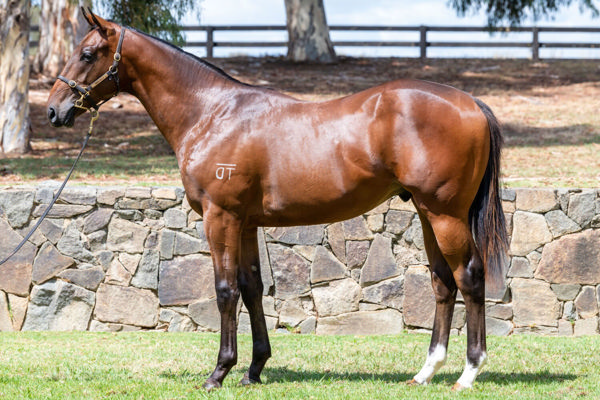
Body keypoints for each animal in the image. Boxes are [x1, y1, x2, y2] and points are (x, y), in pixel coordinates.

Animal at [47, 10, 506, 392]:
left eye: (87, 53)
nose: (54, 111)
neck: (211, 114)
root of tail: (471, 104)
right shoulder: (246, 222)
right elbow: (252, 288)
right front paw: (254, 369)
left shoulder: (220, 217)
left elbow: (226, 290)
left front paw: (219, 372)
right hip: (428, 214)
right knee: (443, 283)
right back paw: (426, 372)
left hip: (445, 214)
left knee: (469, 277)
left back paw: (468, 373)